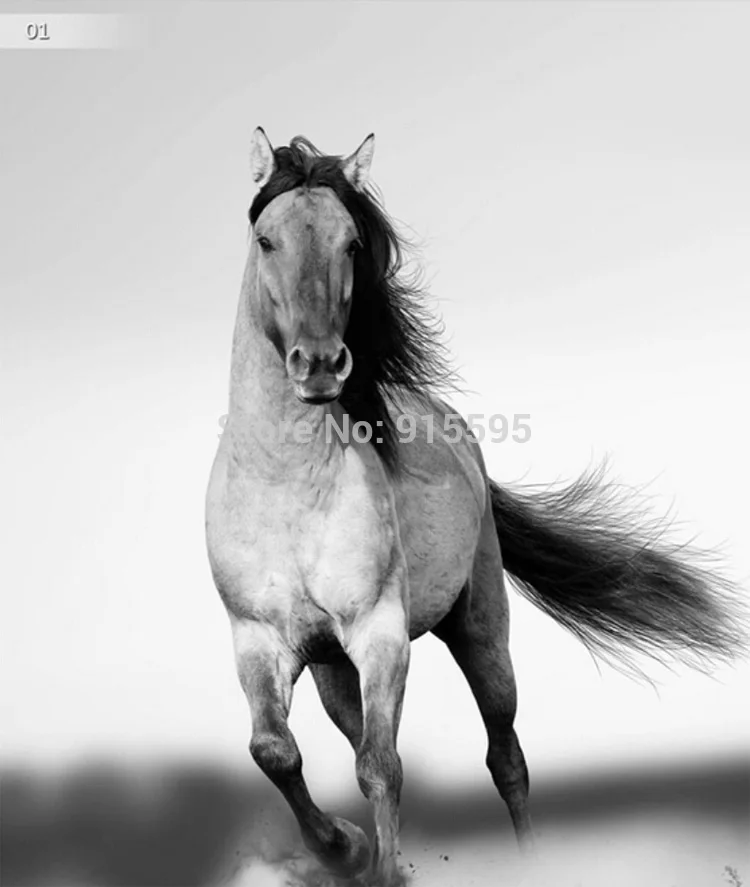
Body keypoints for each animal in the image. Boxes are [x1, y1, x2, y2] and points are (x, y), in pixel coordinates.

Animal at [205, 128, 744, 886]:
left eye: (351, 242)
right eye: (265, 239)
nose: (320, 364)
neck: (287, 489)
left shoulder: (380, 631)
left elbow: (380, 766)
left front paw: (373, 862)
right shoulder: (257, 639)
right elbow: (276, 752)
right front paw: (347, 847)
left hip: (481, 632)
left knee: (504, 758)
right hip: (335, 668)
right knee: (361, 736)